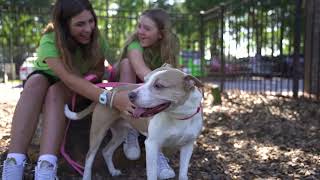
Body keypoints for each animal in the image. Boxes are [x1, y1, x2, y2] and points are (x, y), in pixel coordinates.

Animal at [64, 65, 204, 179]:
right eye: (145, 80)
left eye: (158, 86)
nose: (130, 95)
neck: (179, 117)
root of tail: (109, 92)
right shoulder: (151, 145)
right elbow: (152, 174)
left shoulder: (187, 146)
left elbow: (183, 173)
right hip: (98, 132)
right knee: (89, 157)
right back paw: (87, 176)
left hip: (120, 133)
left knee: (106, 151)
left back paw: (113, 171)